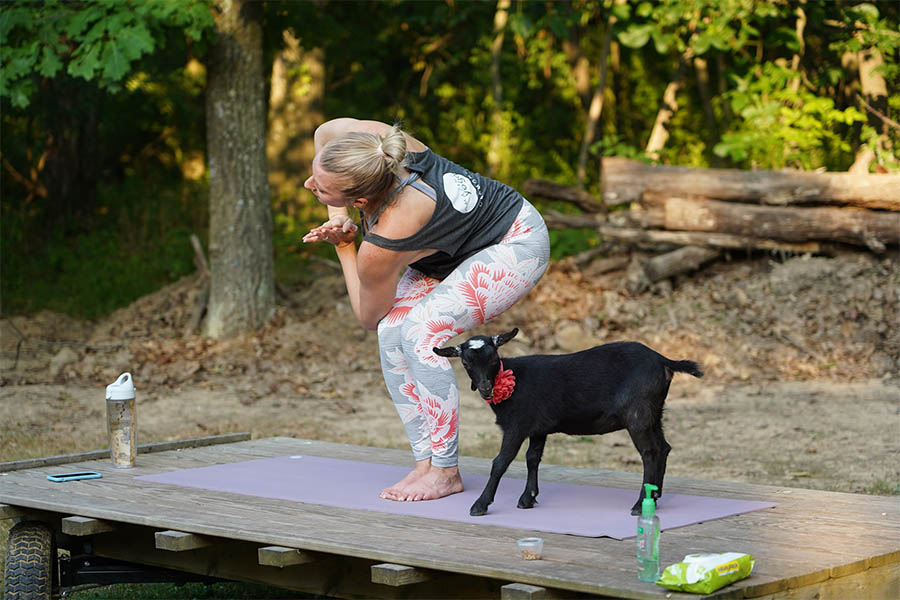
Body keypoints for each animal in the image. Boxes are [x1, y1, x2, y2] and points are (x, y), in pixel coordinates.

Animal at [434, 328, 704, 516]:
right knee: (663, 448)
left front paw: (480, 504)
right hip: (654, 412)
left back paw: (640, 503)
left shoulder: (517, 426)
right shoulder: (538, 427)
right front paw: (528, 498)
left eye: (493, 359)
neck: (513, 382)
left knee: (649, 452)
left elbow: (500, 462)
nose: (486, 389)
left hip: (637, 414)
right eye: (466, 363)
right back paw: (654, 497)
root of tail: (663, 360)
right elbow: (533, 458)